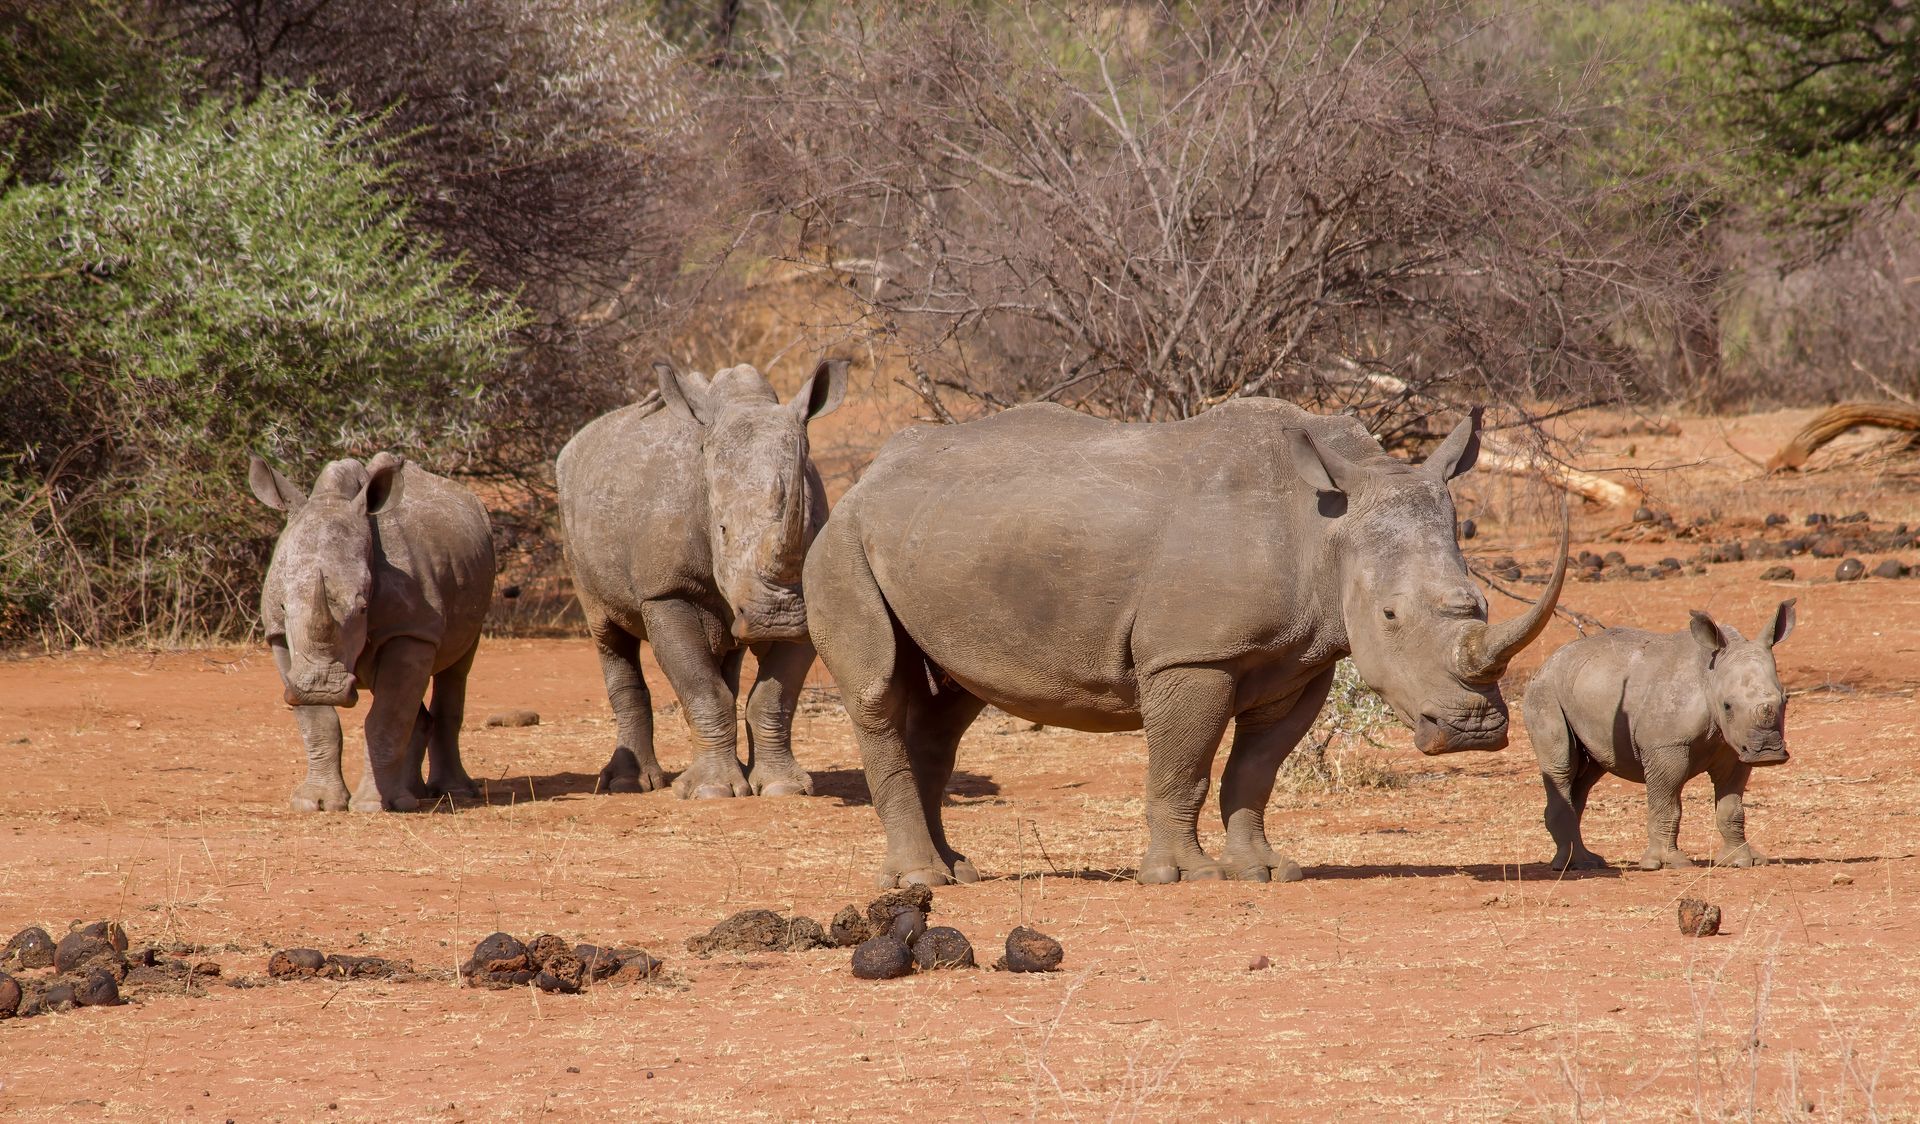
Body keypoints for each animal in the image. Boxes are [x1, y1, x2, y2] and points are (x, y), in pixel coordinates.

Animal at [247, 451, 499, 810]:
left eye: (363, 608)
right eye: (283, 607)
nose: (323, 689)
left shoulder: (410, 630)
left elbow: (384, 718)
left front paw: (373, 805)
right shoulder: (279, 637)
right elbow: (318, 721)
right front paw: (316, 803)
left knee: (456, 668)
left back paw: (450, 794)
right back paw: (412, 796)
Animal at [560, 359, 852, 799]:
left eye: (807, 530)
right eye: (723, 530)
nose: (777, 620)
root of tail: (581, 438)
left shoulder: (806, 601)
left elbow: (773, 696)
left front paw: (781, 787)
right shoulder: (665, 591)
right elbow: (701, 687)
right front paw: (711, 791)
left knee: (726, 659)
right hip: (573, 520)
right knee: (607, 633)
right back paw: (628, 784)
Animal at [802, 401, 1566, 883]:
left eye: (1483, 605)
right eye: (1389, 616)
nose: (1473, 731)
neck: (1327, 525)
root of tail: (867, 475)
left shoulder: (1302, 658)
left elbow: (1256, 768)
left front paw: (1265, 871)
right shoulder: (1192, 655)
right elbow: (1185, 764)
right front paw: (1184, 876)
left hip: (941, 542)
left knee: (951, 704)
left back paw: (959, 870)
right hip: (842, 538)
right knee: (877, 692)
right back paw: (918, 881)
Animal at [1520, 599, 1789, 872]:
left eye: (1785, 700)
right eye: (1727, 706)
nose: (1768, 752)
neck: (1711, 675)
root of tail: (1549, 661)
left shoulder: (1735, 747)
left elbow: (1732, 805)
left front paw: (1743, 860)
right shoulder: (1665, 747)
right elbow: (1667, 804)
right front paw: (1667, 863)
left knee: (1587, 775)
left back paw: (1587, 862)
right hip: (1544, 690)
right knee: (1561, 767)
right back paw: (1571, 865)